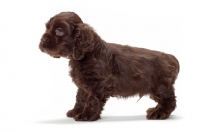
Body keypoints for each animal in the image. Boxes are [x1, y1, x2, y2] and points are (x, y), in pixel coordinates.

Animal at [39, 11, 180, 121]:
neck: (86, 55)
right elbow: (80, 98)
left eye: (59, 31)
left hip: (160, 87)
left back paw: (158, 113)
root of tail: (171, 57)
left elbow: (92, 99)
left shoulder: (99, 84)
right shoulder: (84, 84)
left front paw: (86, 115)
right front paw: (76, 111)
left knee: (169, 101)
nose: (42, 41)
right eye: (47, 28)